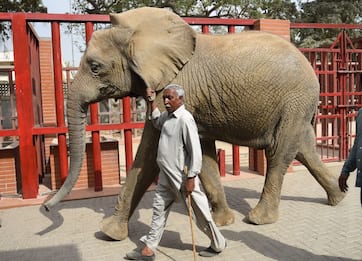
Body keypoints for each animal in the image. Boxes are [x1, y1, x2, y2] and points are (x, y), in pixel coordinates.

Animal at [43, 7, 346, 240]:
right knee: (304, 148)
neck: (138, 32)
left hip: (294, 100)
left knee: (279, 152)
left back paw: (259, 219)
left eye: (95, 67)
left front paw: (108, 233)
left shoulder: (175, 87)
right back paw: (338, 197)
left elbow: (149, 152)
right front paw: (223, 222)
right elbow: (205, 154)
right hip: (297, 106)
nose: (45, 207)